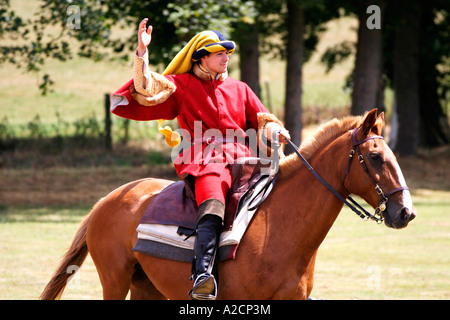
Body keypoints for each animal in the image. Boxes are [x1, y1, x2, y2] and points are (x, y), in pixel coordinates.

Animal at [40, 110, 416, 300]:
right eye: (375, 156)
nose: (406, 212)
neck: (281, 227)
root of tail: (107, 200)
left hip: (147, 289)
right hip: (115, 283)